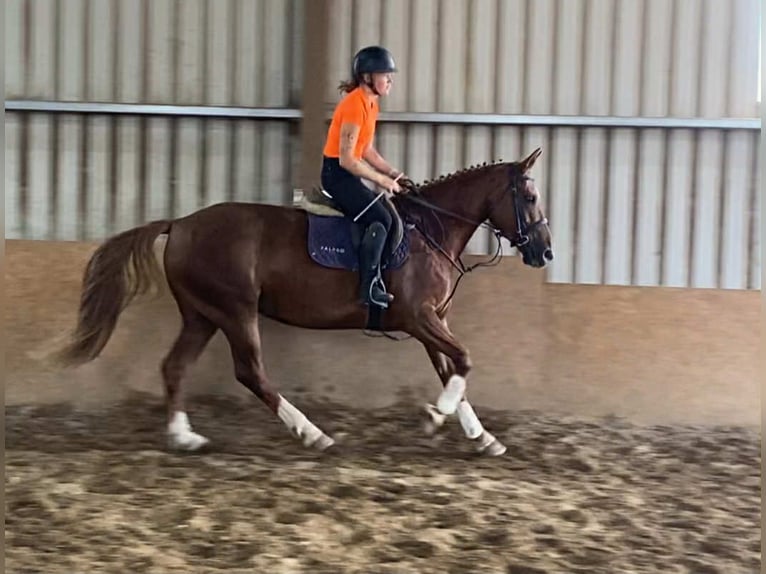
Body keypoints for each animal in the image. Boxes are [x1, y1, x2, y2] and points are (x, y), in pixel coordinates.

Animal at [55, 147, 553, 457]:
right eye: (530, 196)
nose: (544, 252)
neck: (430, 230)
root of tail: (180, 223)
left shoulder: (433, 322)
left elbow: (453, 371)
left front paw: (481, 437)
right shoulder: (419, 318)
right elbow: (464, 360)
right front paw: (435, 418)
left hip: (203, 314)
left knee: (175, 367)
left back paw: (185, 438)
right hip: (236, 310)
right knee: (250, 372)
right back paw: (313, 434)